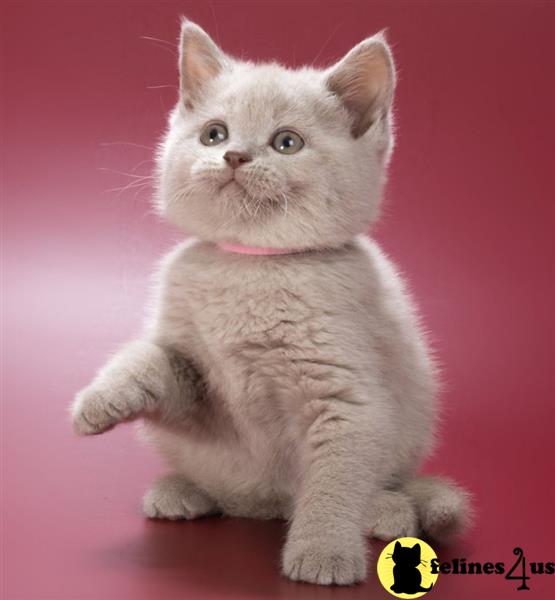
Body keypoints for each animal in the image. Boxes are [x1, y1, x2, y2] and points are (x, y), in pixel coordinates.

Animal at [69, 19, 470, 584]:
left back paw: (388, 511)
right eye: (214, 134)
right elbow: (150, 357)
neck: (250, 267)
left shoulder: (343, 396)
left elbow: (335, 479)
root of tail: (265, 507)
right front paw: (100, 400)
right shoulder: (201, 386)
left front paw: (324, 553)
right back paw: (182, 490)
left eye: (287, 143)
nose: (234, 155)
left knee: (385, 485)